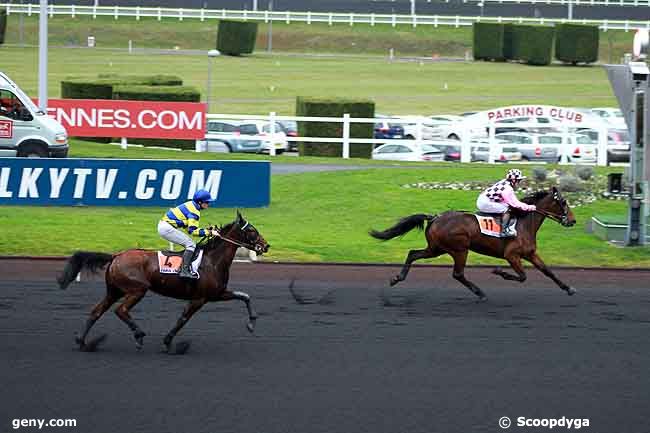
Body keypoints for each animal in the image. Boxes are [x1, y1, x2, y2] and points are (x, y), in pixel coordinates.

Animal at [56, 211, 268, 352]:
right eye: (251, 230)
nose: (266, 246)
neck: (212, 261)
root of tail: (116, 256)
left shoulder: (216, 294)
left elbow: (245, 296)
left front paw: (251, 324)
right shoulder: (199, 298)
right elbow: (183, 319)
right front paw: (168, 342)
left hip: (114, 290)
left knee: (96, 311)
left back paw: (83, 342)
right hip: (137, 289)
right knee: (121, 310)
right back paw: (138, 335)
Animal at [368, 186, 576, 300]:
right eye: (564, 202)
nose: (573, 221)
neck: (524, 223)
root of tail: (435, 217)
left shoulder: (530, 253)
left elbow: (548, 271)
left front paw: (569, 288)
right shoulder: (511, 255)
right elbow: (523, 276)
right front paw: (499, 271)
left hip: (436, 248)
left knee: (413, 253)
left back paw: (397, 278)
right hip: (459, 249)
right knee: (458, 274)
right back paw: (480, 292)